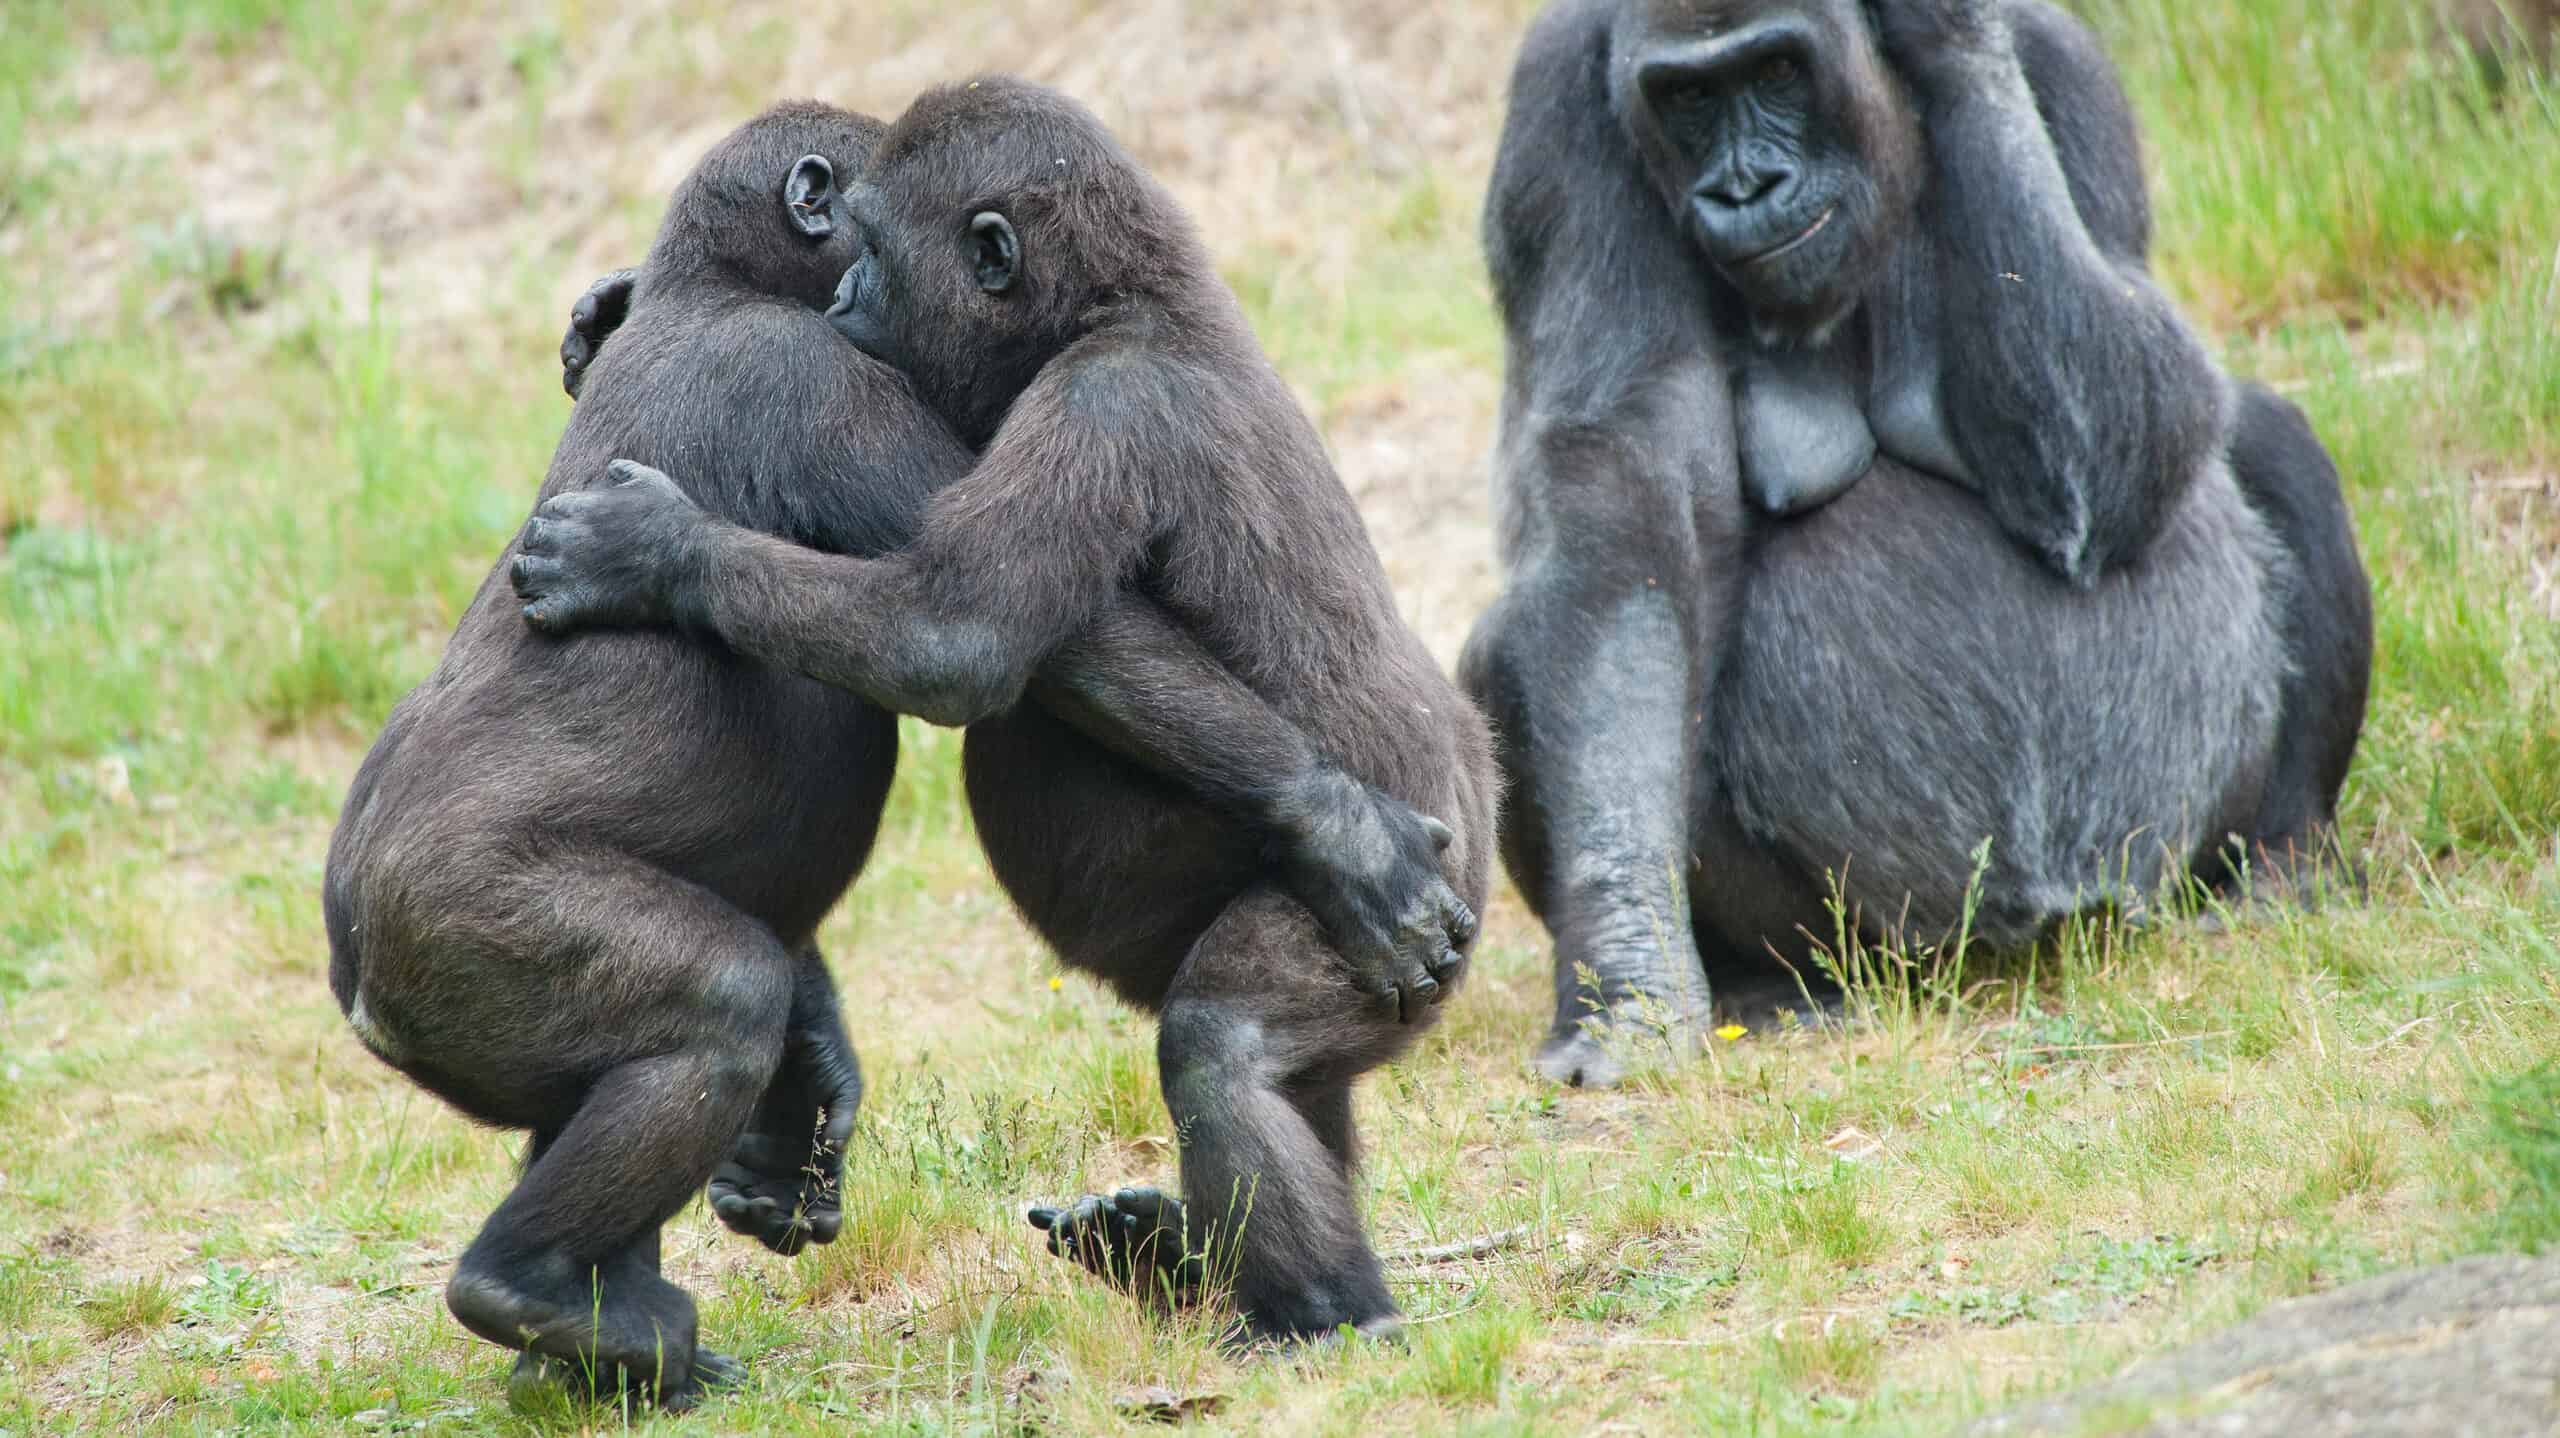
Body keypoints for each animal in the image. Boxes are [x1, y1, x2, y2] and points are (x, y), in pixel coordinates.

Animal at [325, 101, 1484, 1402]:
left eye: (875, 248)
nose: (849, 296)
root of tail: (360, 986)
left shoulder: (1030, 397)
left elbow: (955, 633)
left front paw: (652, 543)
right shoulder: (839, 374)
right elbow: (970, 638)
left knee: (1230, 1051)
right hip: (445, 941)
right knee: (721, 1007)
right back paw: (556, 1301)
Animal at [1464, 0, 2375, 1079]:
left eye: (1778, 72)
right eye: (1686, 97)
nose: (1746, 188)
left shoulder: (2061, 55)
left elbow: (2135, 424)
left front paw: (1947, 33)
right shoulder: (1557, 106)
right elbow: (1628, 519)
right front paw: (1630, 971)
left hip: (2165, 870)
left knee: (2265, 436)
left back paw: (2281, 865)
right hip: (1875, 944)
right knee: (1513, 642)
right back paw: (1767, 982)